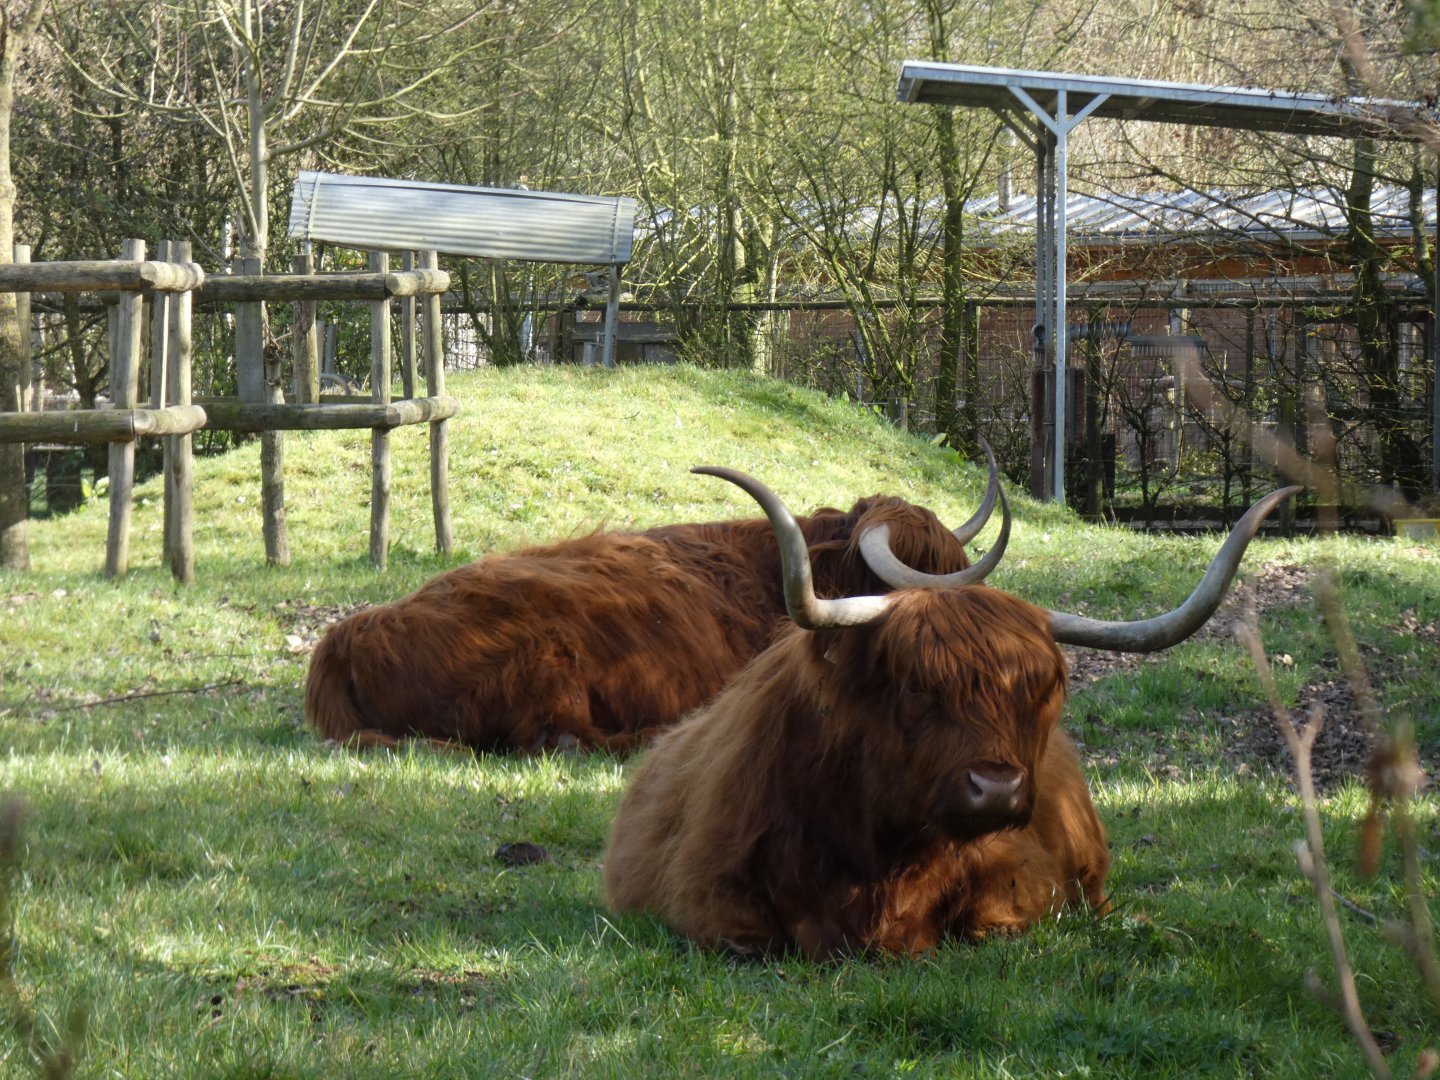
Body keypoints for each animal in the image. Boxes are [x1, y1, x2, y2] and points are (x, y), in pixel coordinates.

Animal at [603, 467, 1299, 957]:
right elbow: (747, 939)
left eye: (1038, 689)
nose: (996, 787)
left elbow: (998, 920)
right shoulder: (711, 897)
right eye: (915, 685)